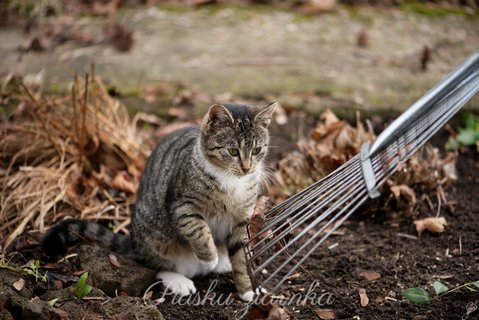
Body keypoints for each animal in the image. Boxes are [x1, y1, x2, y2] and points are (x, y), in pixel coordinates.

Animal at [45, 102, 280, 300]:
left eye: (257, 150)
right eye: (232, 151)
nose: (247, 168)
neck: (232, 181)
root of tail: (134, 242)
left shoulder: (243, 219)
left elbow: (241, 257)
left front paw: (247, 290)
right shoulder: (183, 206)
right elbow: (199, 230)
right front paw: (209, 257)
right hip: (154, 237)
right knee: (155, 264)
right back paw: (183, 278)